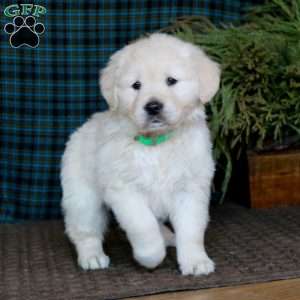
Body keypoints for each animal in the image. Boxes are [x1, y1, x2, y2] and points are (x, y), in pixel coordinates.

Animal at [61, 33, 220, 276]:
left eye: (171, 81)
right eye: (136, 85)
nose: (153, 106)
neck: (156, 143)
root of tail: (81, 129)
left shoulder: (190, 188)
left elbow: (191, 230)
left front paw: (195, 261)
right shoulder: (125, 190)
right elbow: (143, 226)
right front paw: (150, 257)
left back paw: (169, 237)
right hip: (82, 197)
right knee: (84, 231)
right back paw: (92, 257)